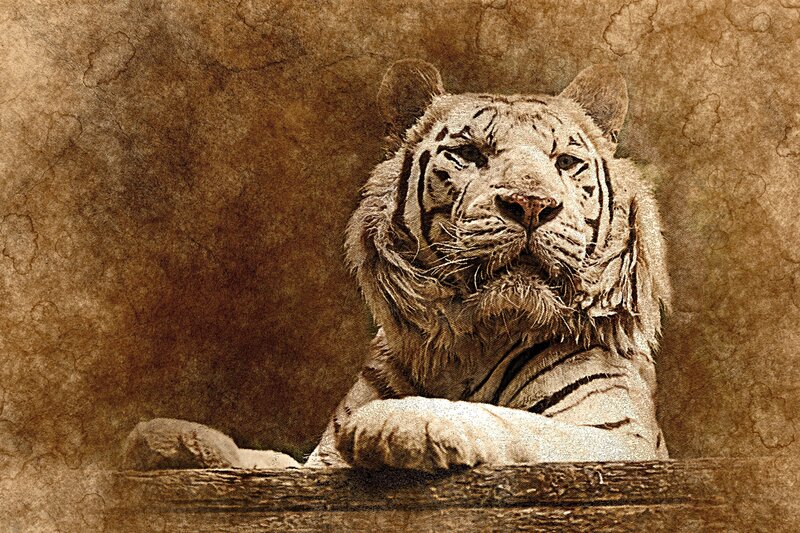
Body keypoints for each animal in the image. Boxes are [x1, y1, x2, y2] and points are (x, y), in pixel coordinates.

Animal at [123, 59, 671, 472]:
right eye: (469, 154)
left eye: (565, 162)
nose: (530, 204)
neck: (472, 340)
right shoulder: (318, 463)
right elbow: (271, 462)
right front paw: (172, 440)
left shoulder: (619, 439)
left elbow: (518, 424)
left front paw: (400, 421)